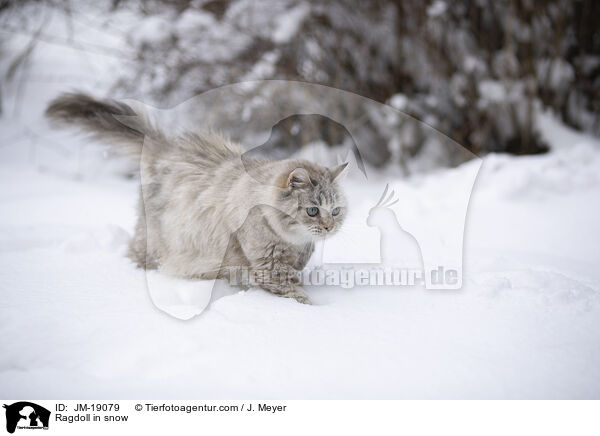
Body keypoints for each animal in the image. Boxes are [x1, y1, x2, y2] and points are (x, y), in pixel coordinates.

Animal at [45, 92, 346, 304]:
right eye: (312, 210)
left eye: (335, 211)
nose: (330, 228)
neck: (293, 240)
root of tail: (166, 147)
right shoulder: (270, 266)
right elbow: (295, 295)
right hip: (156, 240)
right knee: (137, 254)